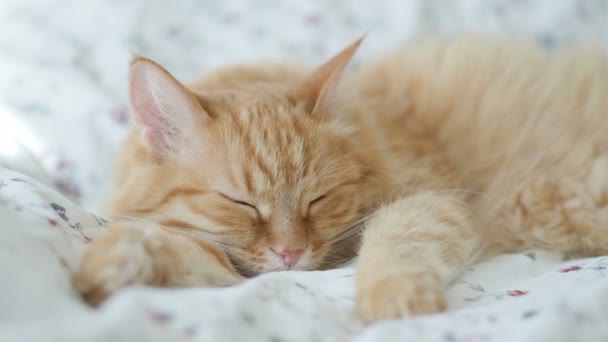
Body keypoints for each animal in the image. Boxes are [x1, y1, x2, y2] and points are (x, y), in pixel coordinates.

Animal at [73, 34, 608, 320]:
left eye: (318, 198)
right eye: (242, 203)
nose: (290, 253)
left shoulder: (434, 200)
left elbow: (396, 241)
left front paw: (395, 300)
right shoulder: (236, 270)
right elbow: (170, 249)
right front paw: (110, 265)